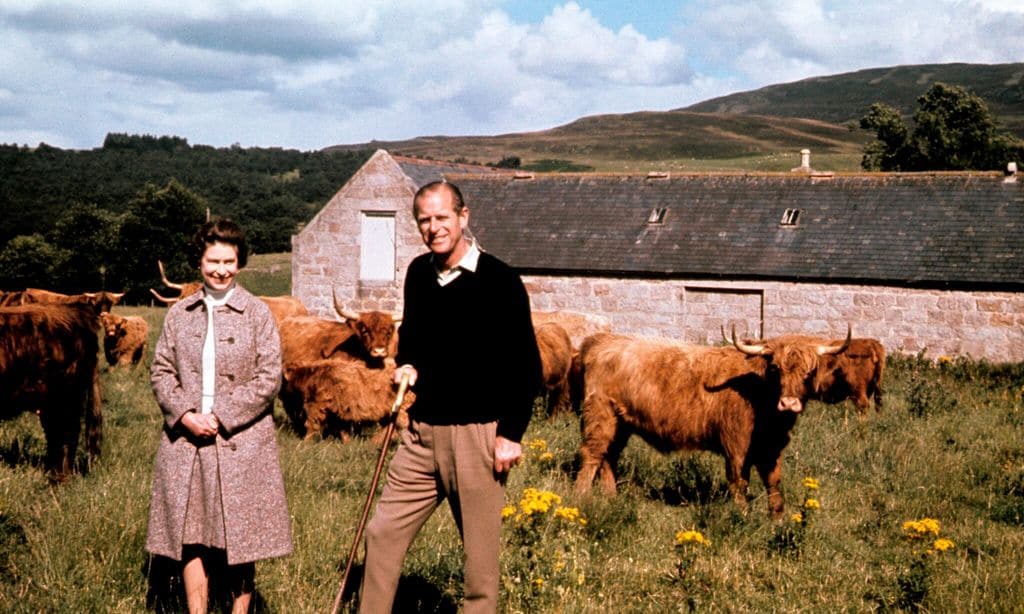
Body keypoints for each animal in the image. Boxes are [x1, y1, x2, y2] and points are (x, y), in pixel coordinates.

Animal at [278, 360, 413, 442]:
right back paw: (373, 443)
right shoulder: (336, 411)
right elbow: (342, 430)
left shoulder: (316, 405)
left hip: (402, 412)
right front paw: (348, 443)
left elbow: (311, 425)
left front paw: (304, 443)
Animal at [577, 329, 847, 515]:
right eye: (776, 369)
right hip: (600, 416)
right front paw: (743, 517)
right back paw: (581, 498)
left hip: (621, 424)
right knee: (591, 455)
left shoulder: (771, 448)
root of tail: (604, 340)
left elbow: (774, 485)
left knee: (608, 457)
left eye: (809, 372)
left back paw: (611, 498)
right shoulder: (736, 447)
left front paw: (777, 521)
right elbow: (739, 483)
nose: (789, 403)